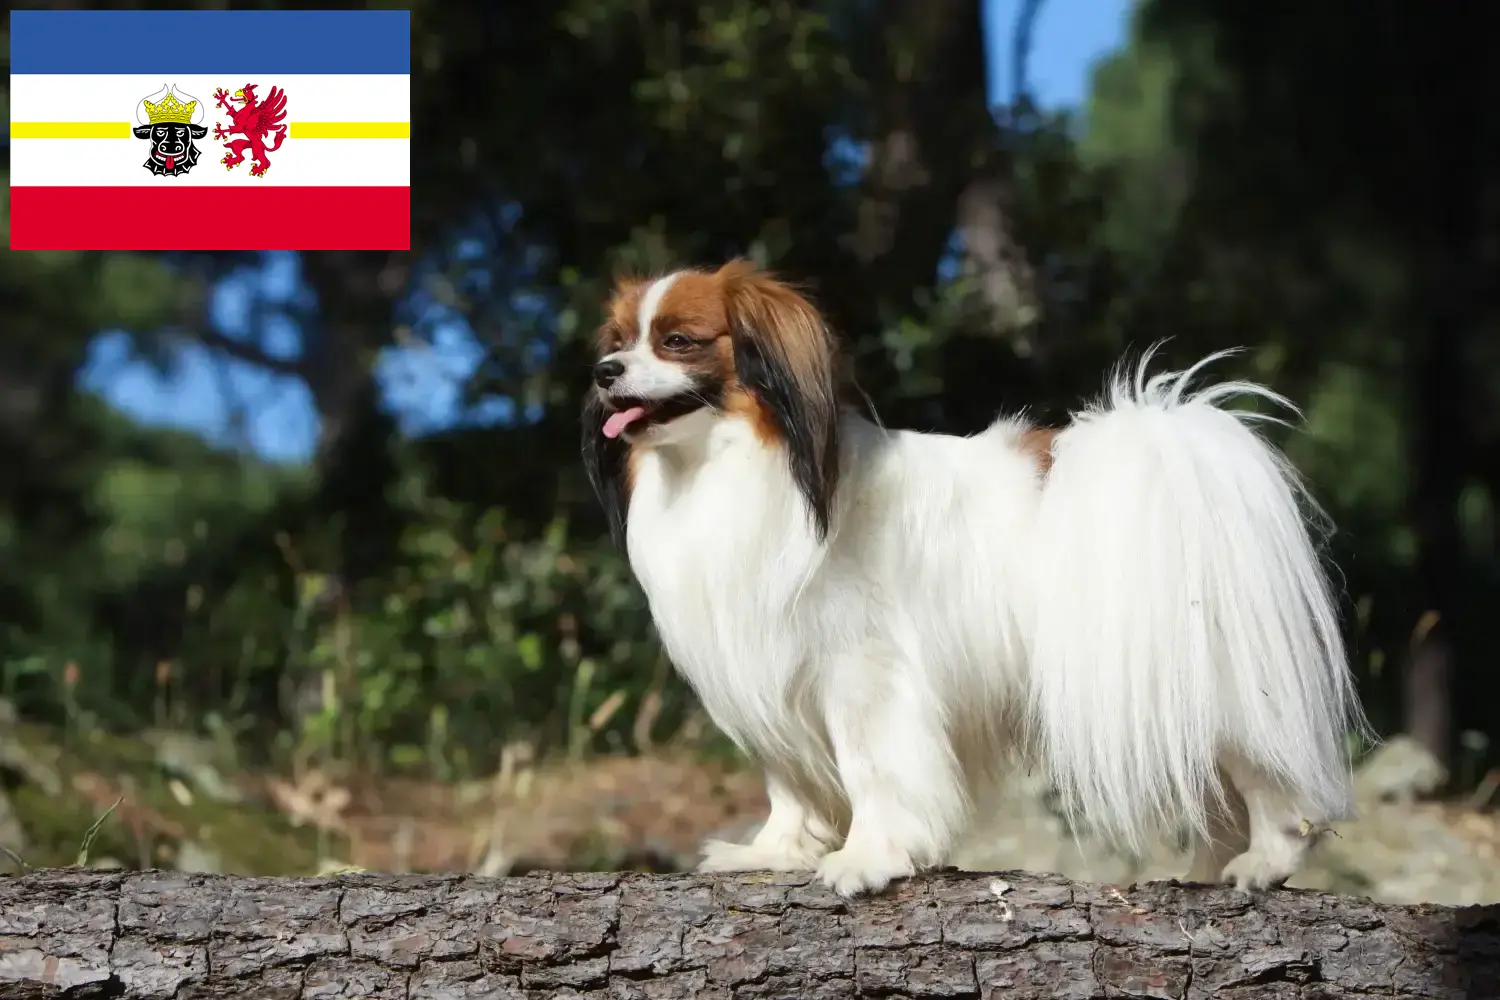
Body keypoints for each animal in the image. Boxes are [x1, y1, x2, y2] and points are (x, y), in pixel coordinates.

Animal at [579, 260, 1368, 899]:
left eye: (678, 341)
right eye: (618, 339)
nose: (604, 372)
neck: (736, 468)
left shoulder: (863, 675)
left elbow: (872, 769)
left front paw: (866, 859)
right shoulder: (767, 672)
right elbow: (790, 784)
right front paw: (772, 853)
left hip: (1213, 684)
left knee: (1270, 780)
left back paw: (1264, 863)